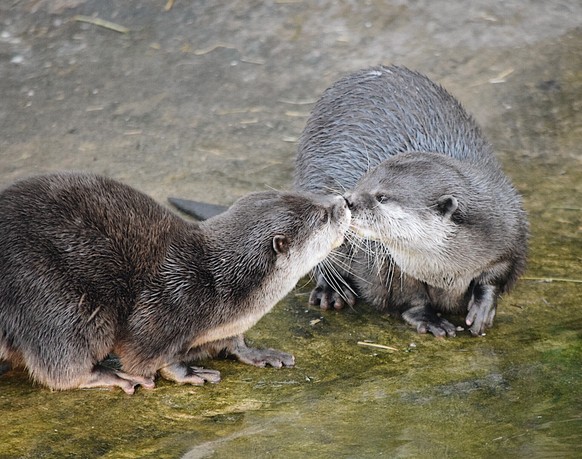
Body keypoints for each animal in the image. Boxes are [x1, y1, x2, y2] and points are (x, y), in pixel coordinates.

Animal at [0, 171, 352, 394]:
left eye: (307, 195)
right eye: (323, 216)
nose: (345, 202)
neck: (217, 283)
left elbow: (234, 341)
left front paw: (256, 352)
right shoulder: (167, 306)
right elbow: (147, 354)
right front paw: (188, 373)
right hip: (56, 297)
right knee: (61, 365)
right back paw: (111, 376)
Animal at [294, 65, 532, 338]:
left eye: (382, 197)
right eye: (362, 179)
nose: (347, 201)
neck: (446, 270)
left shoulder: (510, 234)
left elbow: (496, 276)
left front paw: (483, 308)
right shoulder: (392, 268)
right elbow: (410, 298)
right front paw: (430, 319)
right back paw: (332, 291)